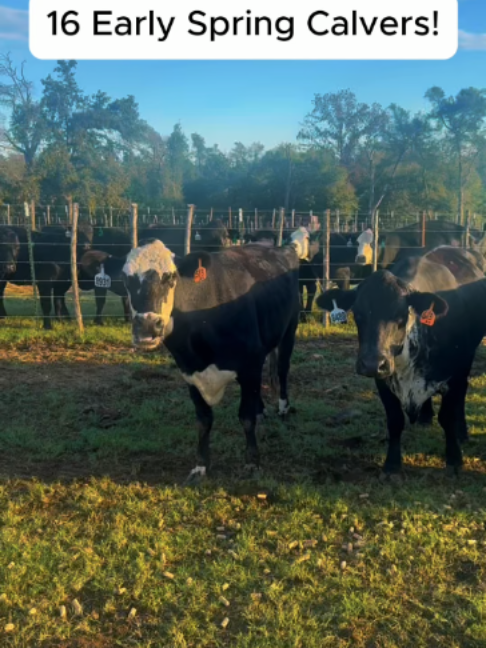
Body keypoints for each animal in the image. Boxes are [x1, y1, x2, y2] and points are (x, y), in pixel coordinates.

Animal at [121, 229, 310, 483]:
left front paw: (252, 462)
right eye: (126, 279)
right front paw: (201, 466)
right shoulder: (190, 371)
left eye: (170, 277)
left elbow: (245, 417)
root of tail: (282, 248)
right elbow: (203, 421)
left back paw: (283, 408)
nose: (147, 326)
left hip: (290, 329)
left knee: (282, 369)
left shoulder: (249, 365)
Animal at [316, 246, 485, 477]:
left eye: (399, 315)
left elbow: (448, 416)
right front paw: (392, 464)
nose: (371, 363)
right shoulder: (383, 379)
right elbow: (395, 420)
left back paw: (462, 432)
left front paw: (454, 459)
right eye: (357, 314)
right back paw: (424, 417)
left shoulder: (454, 373)